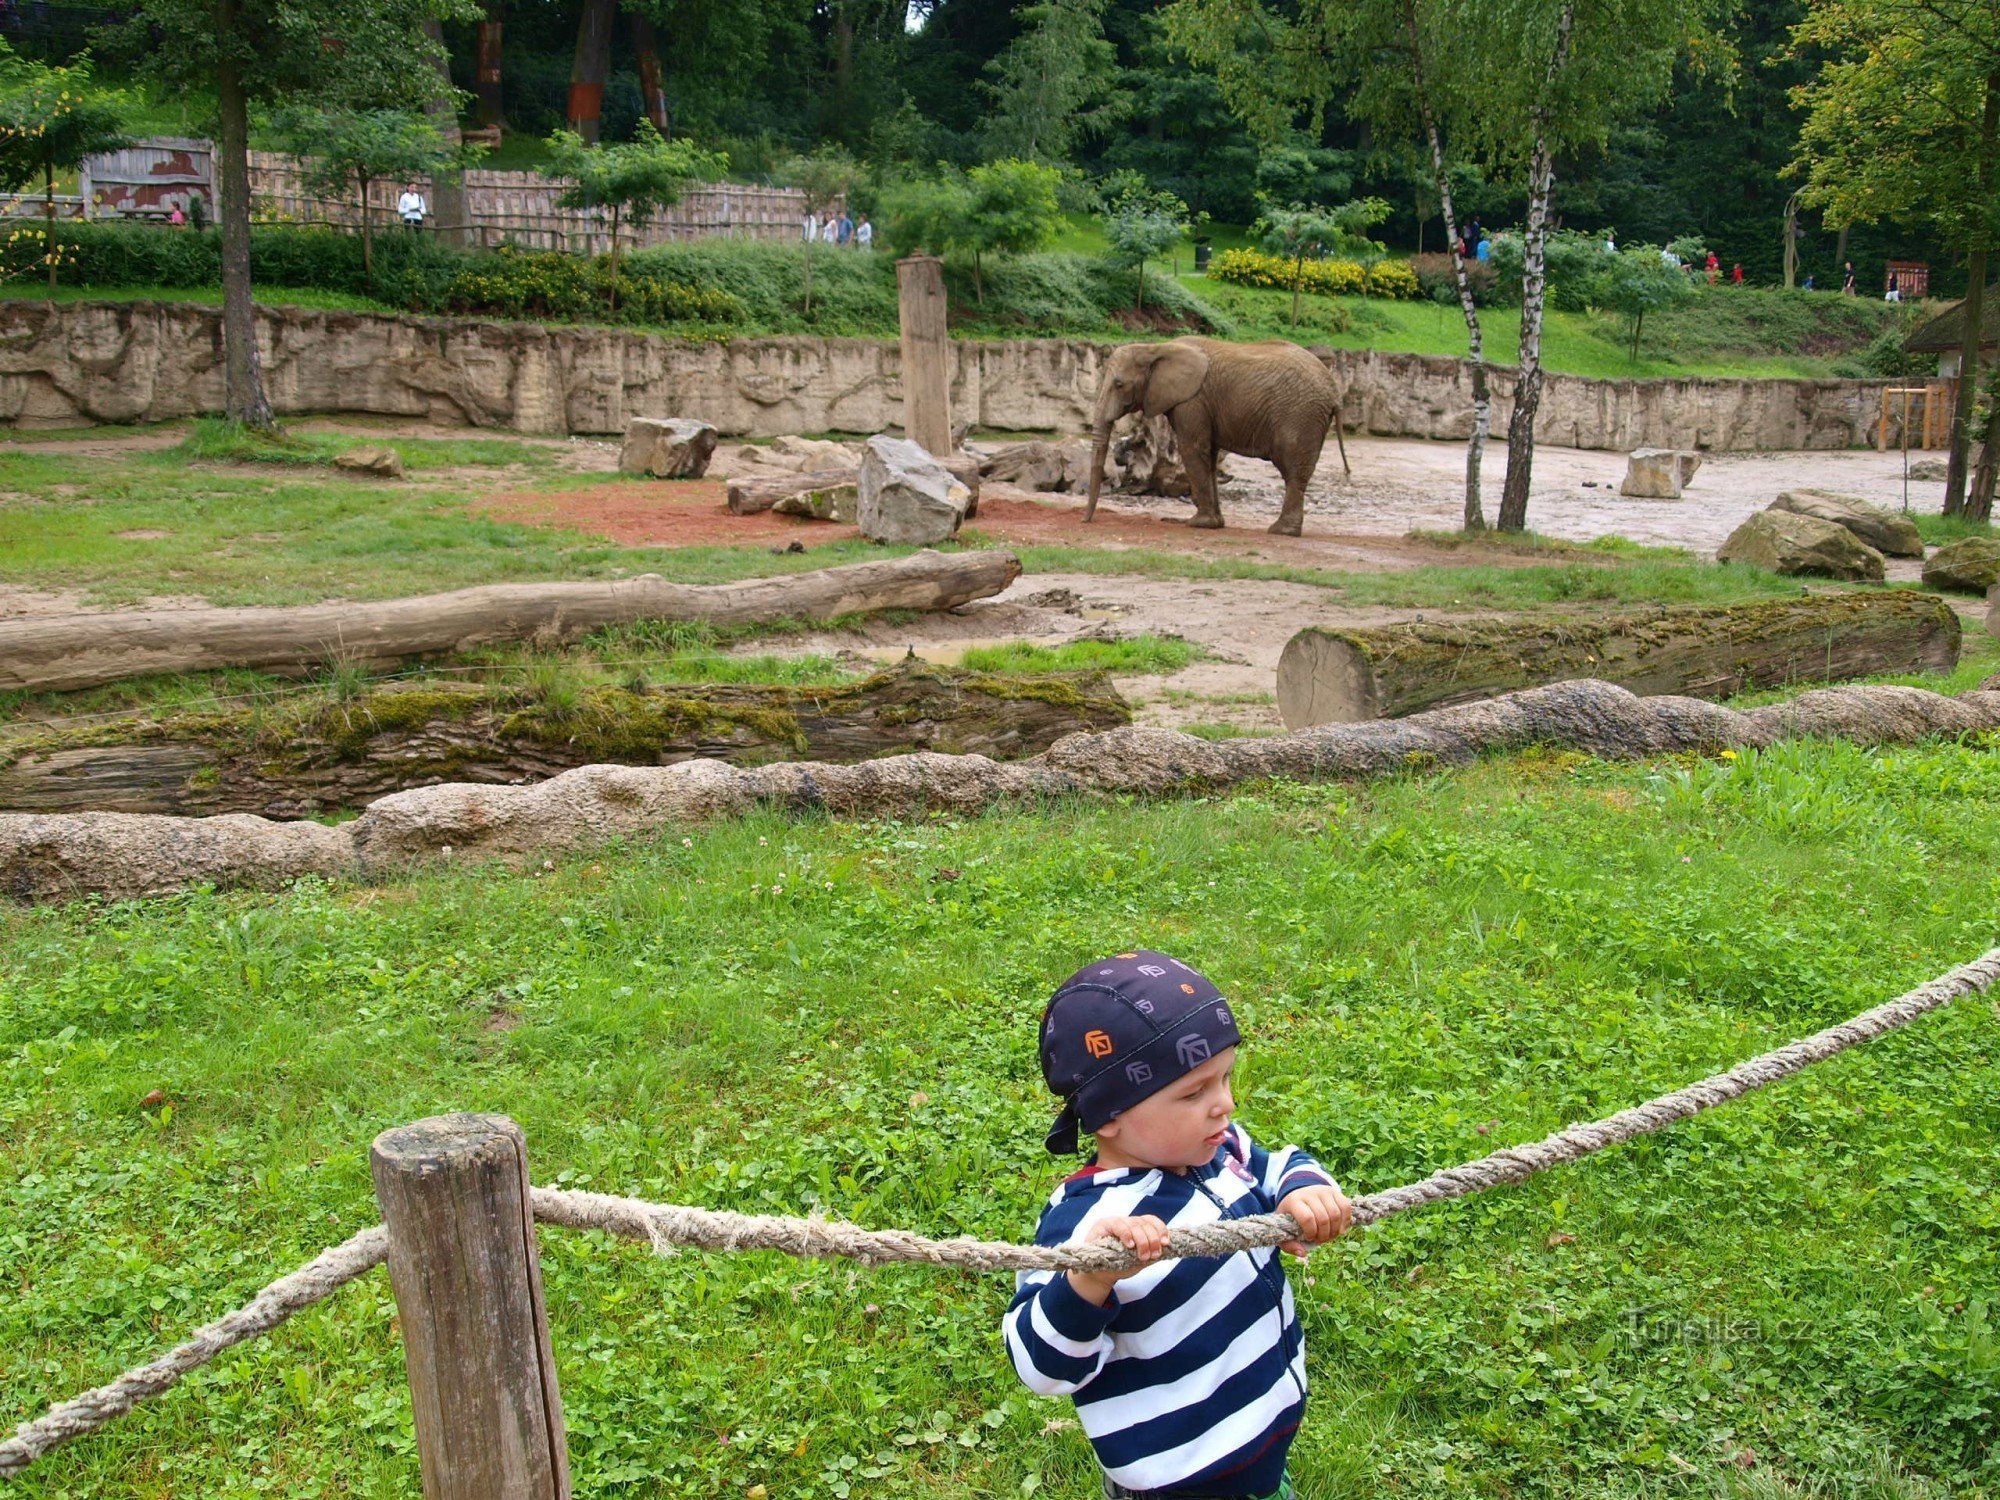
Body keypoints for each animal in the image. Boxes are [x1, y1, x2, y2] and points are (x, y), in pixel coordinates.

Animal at [1088, 338, 1352, 536]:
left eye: (1118, 384)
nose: (1087, 520)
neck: (1157, 348)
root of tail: (1335, 393)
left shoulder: (1192, 401)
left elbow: (1193, 449)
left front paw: (1198, 524)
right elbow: (1211, 456)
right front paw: (1215, 524)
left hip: (1300, 416)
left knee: (1293, 471)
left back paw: (1281, 531)